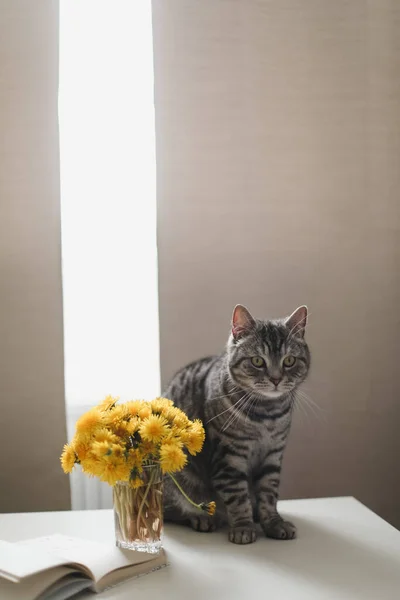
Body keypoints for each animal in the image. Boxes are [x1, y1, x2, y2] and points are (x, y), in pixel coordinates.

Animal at [162, 304, 310, 544]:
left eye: (289, 361)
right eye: (257, 361)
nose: (276, 379)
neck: (267, 415)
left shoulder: (273, 455)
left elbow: (269, 495)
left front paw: (274, 523)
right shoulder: (229, 459)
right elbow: (238, 498)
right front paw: (243, 527)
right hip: (175, 477)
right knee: (172, 510)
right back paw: (202, 518)